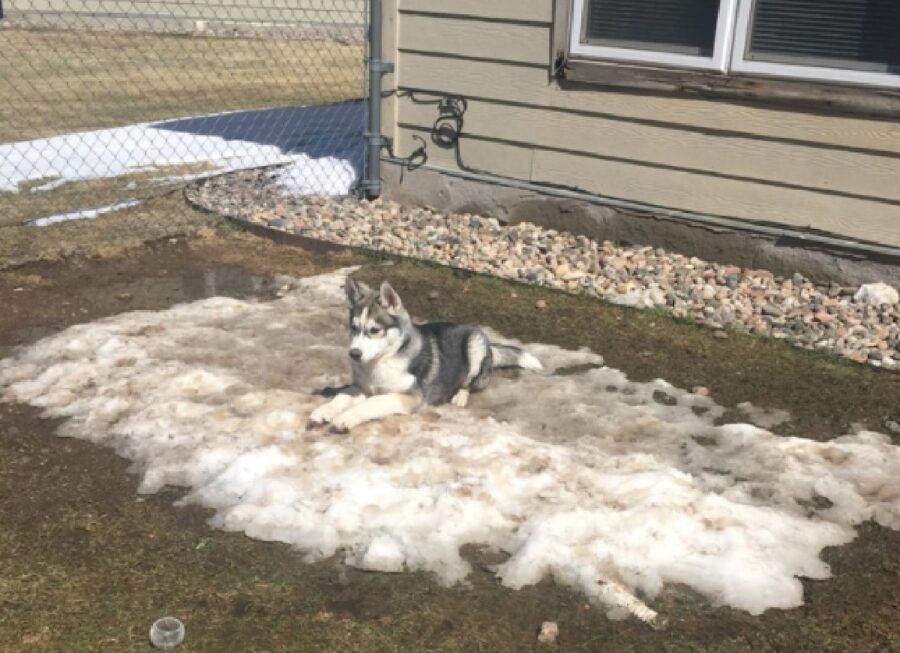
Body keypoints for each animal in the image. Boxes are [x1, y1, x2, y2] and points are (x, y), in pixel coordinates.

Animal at [310, 276, 540, 432]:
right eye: (354, 328)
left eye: (375, 330)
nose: (354, 354)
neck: (381, 361)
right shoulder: (361, 386)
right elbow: (342, 395)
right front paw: (323, 411)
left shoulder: (410, 397)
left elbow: (374, 402)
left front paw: (346, 417)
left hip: (475, 347)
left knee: (470, 383)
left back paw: (460, 395)